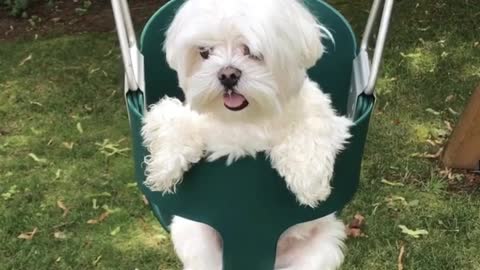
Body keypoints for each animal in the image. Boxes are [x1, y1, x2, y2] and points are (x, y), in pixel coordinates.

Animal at [142, 0, 352, 268]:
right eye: (204, 52)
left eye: (253, 52)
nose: (227, 75)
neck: (250, 116)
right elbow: (171, 119)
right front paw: (163, 169)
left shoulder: (328, 119)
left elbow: (310, 130)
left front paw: (310, 182)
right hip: (196, 238)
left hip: (322, 248)